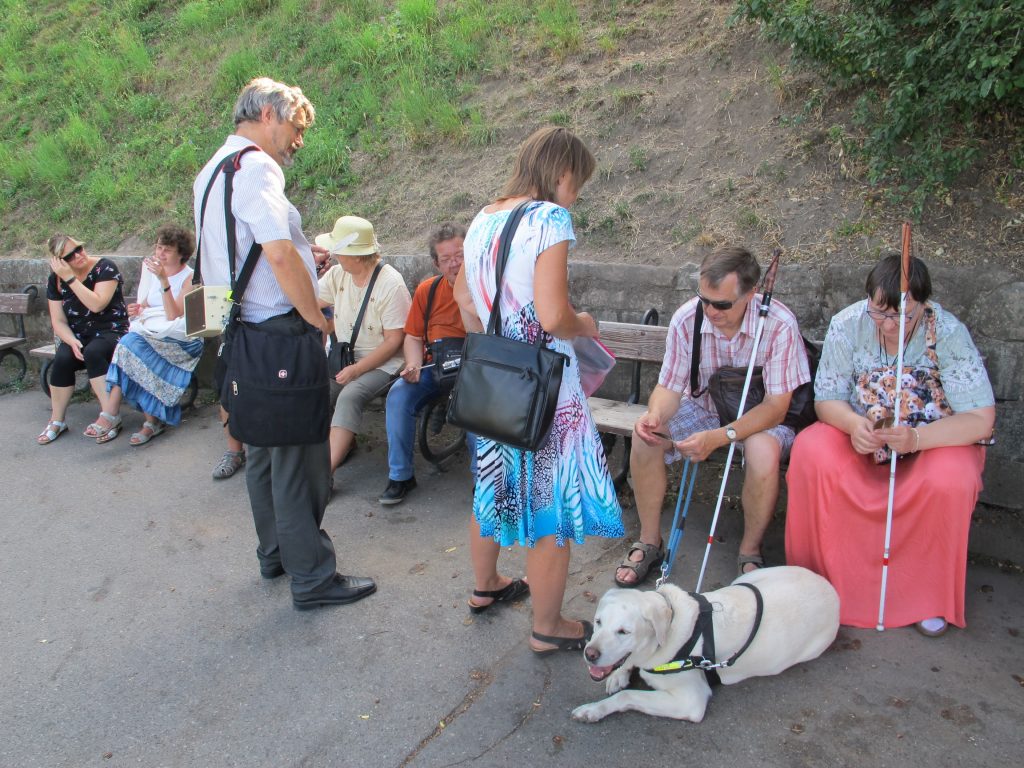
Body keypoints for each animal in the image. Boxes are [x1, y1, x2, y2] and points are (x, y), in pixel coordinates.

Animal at [569, 565, 839, 720]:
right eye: (598, 622)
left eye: (624, 632)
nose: (590, 654)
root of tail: (832, 588)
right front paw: (619, 675)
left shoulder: (691, 701)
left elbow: (627, 696)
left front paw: (593, 710)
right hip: (748, 577)